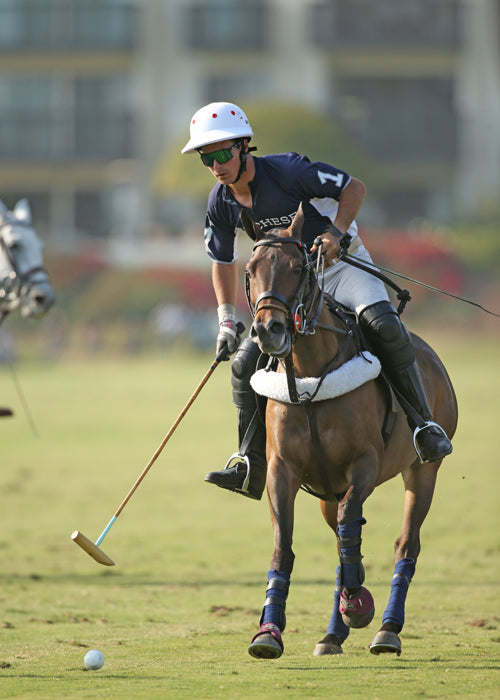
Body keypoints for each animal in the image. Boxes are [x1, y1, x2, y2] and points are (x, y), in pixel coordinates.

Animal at [240, 207, 458, 659]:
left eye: (297, 267)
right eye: (250, 271)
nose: (268, 330)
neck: (309, 376)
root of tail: (430, 354)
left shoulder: (365, 465)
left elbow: (350, 531)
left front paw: (359, 603)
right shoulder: (282, 470)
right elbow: (285, 543)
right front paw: (268, 632)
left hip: (422, 471)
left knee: (404, 543)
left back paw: (387, 629)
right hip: (329, 490)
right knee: (344, 537)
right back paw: (332, 634)